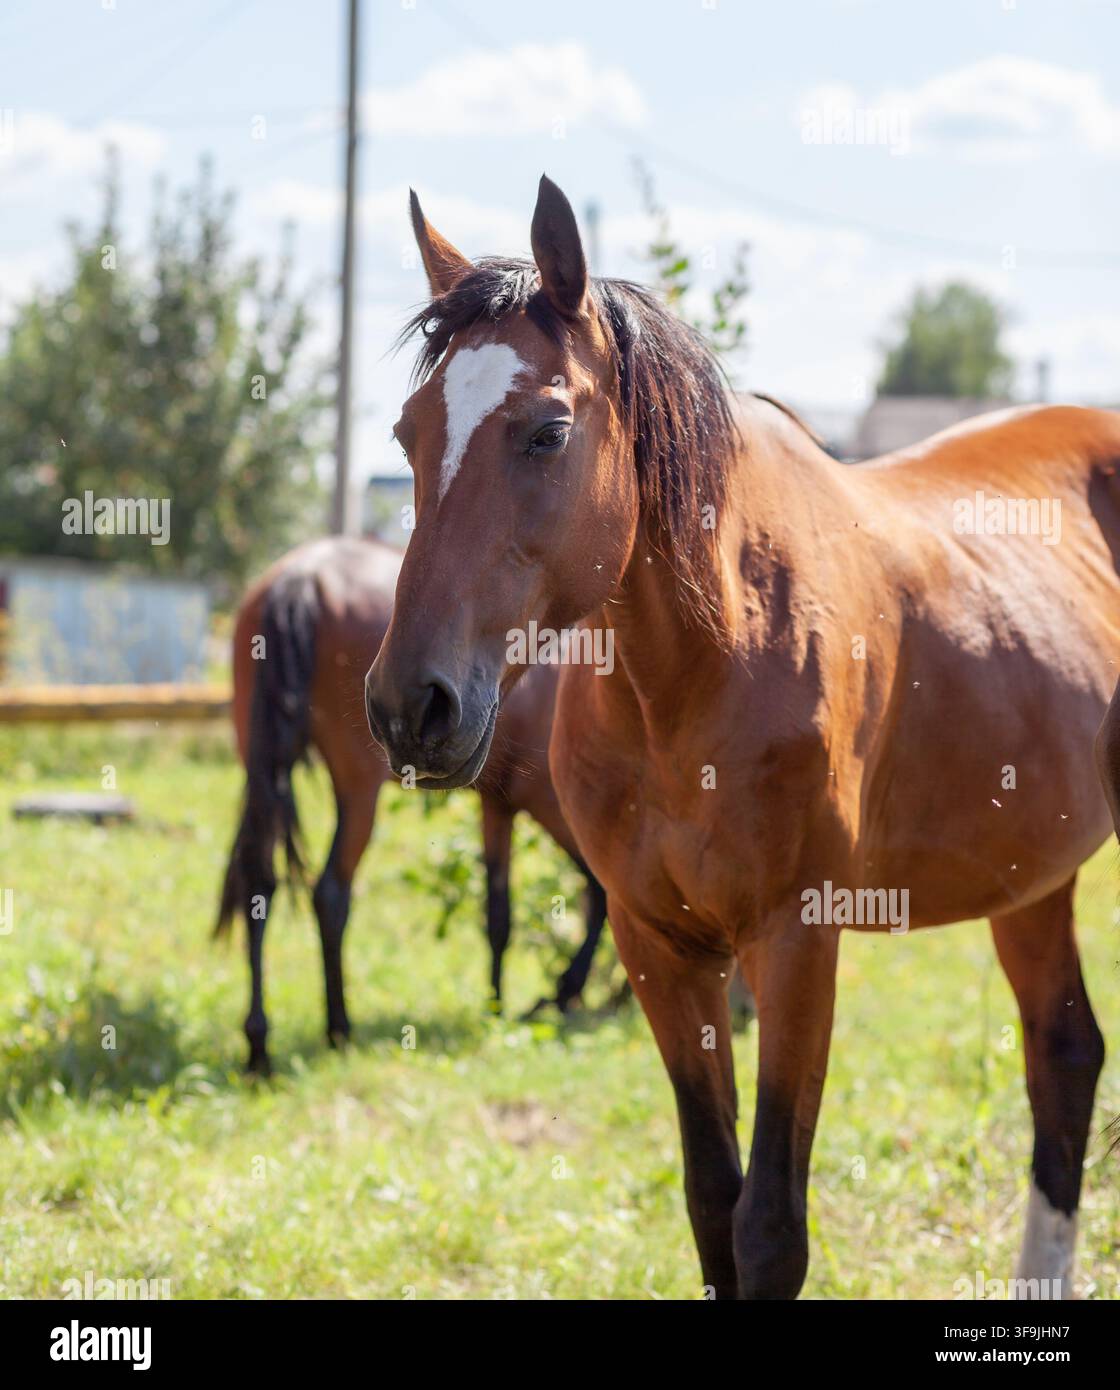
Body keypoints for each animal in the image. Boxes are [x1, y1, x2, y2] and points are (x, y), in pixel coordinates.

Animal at [216, 534, 608, 1075]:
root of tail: (303, 577)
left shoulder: (499, 804)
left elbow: (499, 912)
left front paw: (497, 1006)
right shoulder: (549, 802)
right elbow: (599, 892)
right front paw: (558, 992)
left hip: (262, 766)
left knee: (259, 881)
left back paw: (259, 1044)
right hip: (359, 785)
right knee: (330, 892)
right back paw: (338, 1027)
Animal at [364, 175, 1120, 1299]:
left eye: (546, 431)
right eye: (409, 434)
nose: (410, 705)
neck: (699, 672)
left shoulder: (797, 941)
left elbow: (768, 1222)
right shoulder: (661, 948)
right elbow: (711, 1203)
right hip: (1031, 876)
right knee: (1063, 1054)